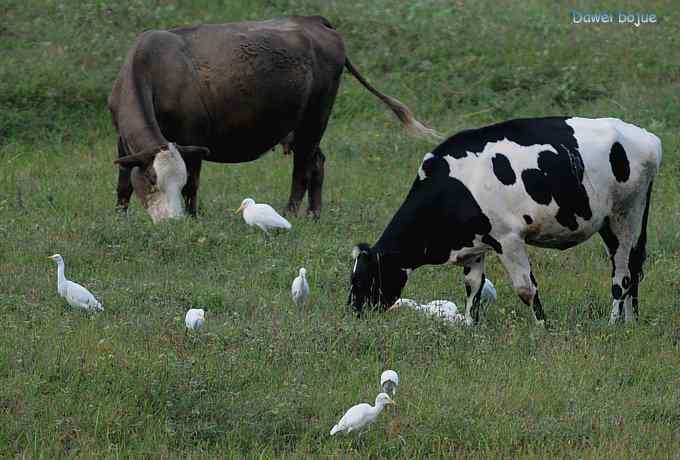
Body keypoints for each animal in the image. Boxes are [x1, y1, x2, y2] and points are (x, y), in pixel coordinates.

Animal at [109, 14, 438, 223]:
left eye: (176, 181)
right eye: (152, 181)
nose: (171, 221)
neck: (153, 67)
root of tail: (312, 19)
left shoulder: (194, 139)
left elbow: (194, 185)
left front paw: (192, 216)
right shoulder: (123, 141)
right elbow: (124, 181)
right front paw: (120, 216)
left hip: (316, 116)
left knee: (303, 168)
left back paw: (292, 212)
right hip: (303, 125)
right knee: (317, 162)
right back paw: (314, 214)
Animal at [348, 117, 660, 326]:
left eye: (362, 278)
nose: (353, 311)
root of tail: (647, 138)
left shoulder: (508, 239)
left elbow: (526, 289)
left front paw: (542, 328)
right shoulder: (475, 245)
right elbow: (473, 286)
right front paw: (469, 327)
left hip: (625, 214)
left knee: (623, 274)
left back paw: (613, 323)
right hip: (612, 221)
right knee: (634, 265)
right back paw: (631, 322)